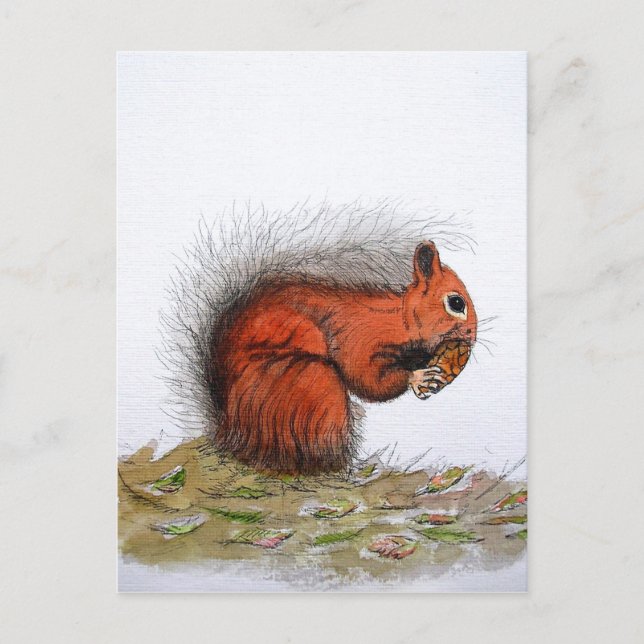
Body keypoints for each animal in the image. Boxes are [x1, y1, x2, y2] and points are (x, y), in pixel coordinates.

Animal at [163, 202, 477, 476]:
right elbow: (369, 380)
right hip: (314, 386)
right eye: (456, 303)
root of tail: (232, 435)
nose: (472, 336)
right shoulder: (359, 339)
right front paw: (418, 376)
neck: (399, 319)